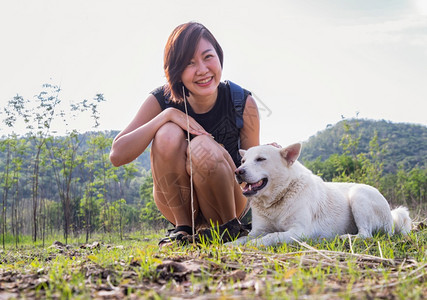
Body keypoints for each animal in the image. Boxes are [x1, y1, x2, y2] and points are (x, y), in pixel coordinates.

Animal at [232, 144, 412, 247]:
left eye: (260, 159)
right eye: (243, 161)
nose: (237, 172)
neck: (277, 200)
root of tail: (392, 215)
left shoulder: (299, 231)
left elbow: (271, 236)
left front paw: (254, 245)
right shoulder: (258, 230)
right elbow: (242, 239)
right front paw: (230, 245)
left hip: (359, 195)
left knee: (365, 235)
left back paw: (343, 238)